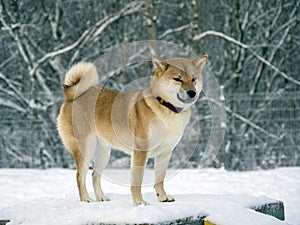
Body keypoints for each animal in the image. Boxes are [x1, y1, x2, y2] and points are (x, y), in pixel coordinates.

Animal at [56, 54, 206, 206]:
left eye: (194, 79)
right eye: (177, 79)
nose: (192, 92)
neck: (166, 107)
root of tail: (72, 97)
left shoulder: (165, 152)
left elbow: (160, 178)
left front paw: (163, 197)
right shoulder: (141, 151)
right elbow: (137, 180)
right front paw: (139, 202)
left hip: (103, 153)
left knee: (95, 176)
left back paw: (102, 197)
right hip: (86, 148)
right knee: (80, 176)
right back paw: (86, 199)